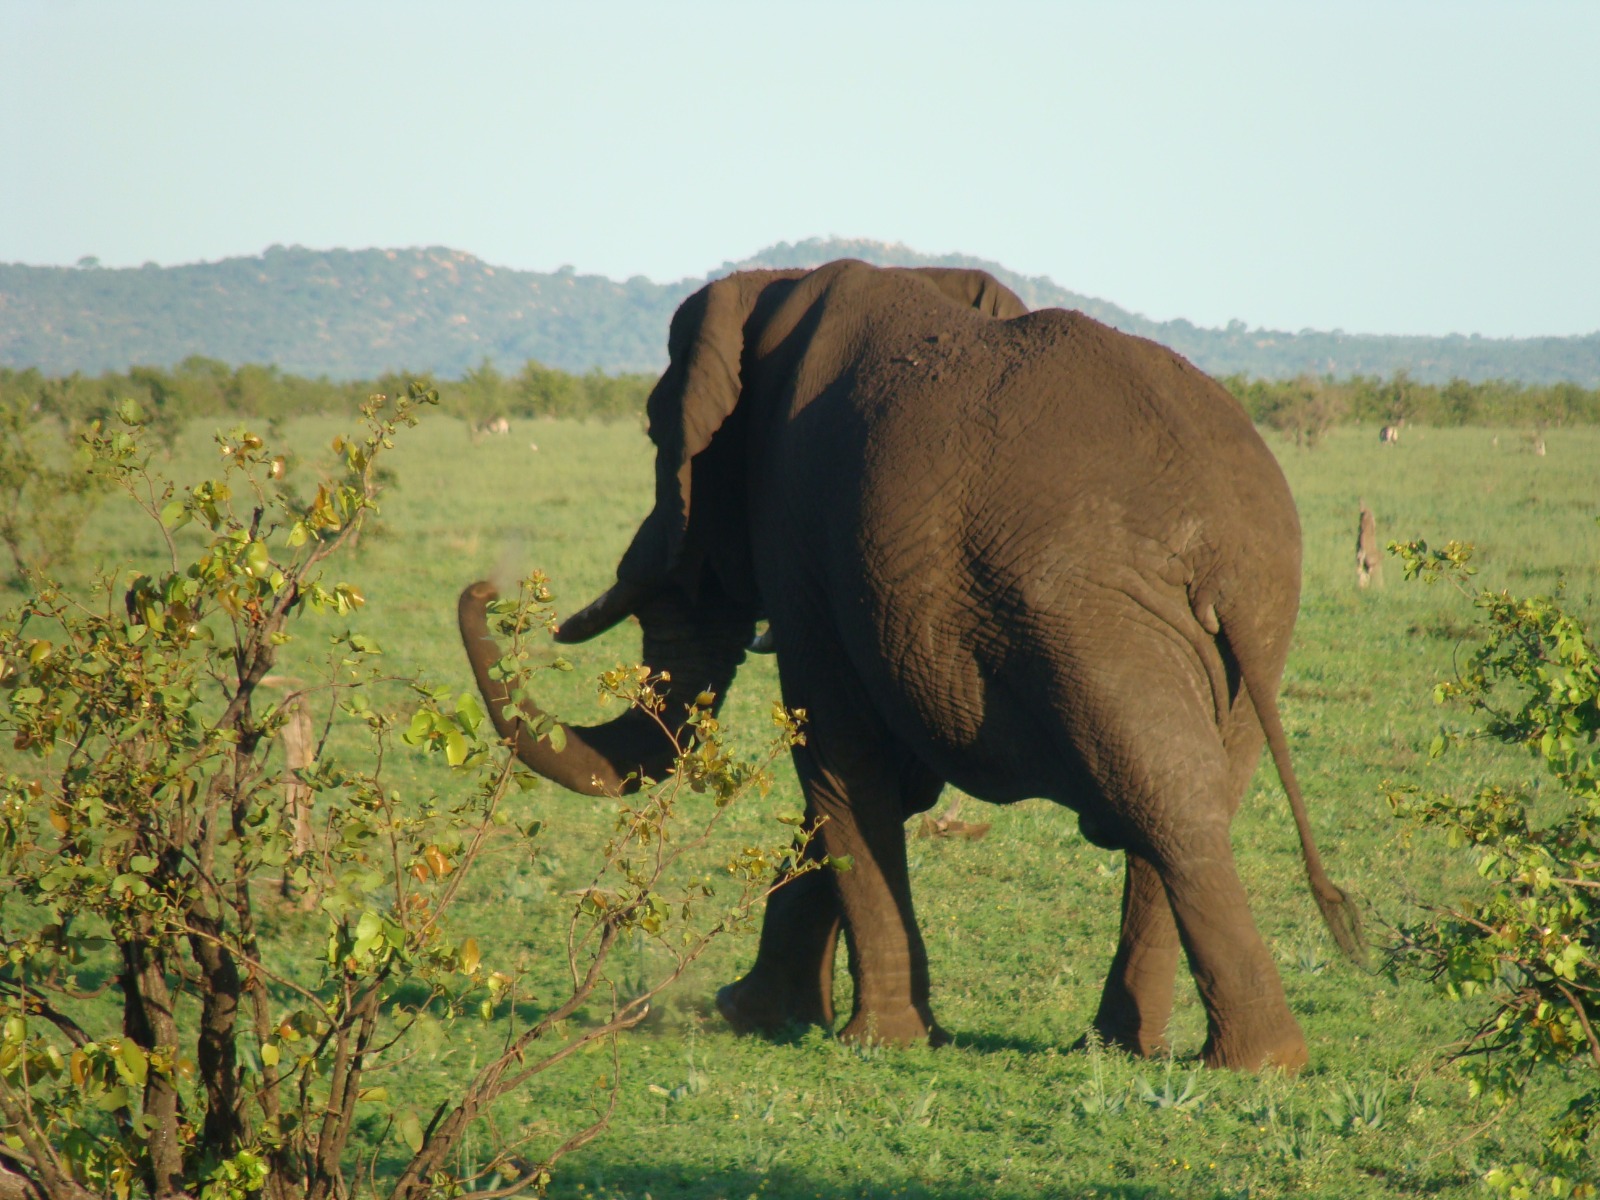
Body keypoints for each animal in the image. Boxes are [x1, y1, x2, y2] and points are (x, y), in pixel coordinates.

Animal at [458, 259, 1361, 1071]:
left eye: (654, 434)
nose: (485, 588)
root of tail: (1217, 541)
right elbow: (888, 779)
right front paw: (758, 1016)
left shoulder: (803, 538)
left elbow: (836, 762)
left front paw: (874, 1041)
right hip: (1253, 617)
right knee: (1187, 798)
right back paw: (1150, 1050)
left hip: (1090, 611)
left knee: (1164, 799)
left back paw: (1247, 1062)